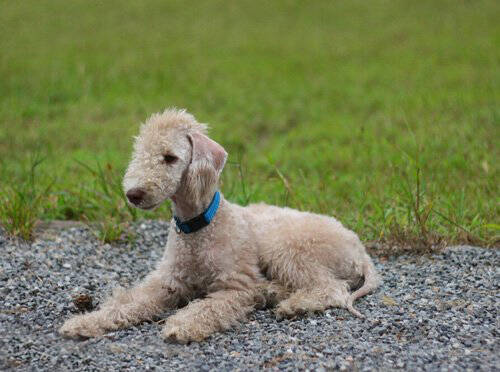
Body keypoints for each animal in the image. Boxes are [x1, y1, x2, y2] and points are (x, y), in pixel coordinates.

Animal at [59, 108, 378, 342]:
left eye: (170, 157)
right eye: (140, 153)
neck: (199, 226)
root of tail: (360, 251)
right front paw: (85, 322)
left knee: (332, 288)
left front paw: (183, 326)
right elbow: (128, 302)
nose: (133, 194)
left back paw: (292, 305)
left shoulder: (235, 285)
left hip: (288, 247)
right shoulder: (168, 281)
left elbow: (208, 307)